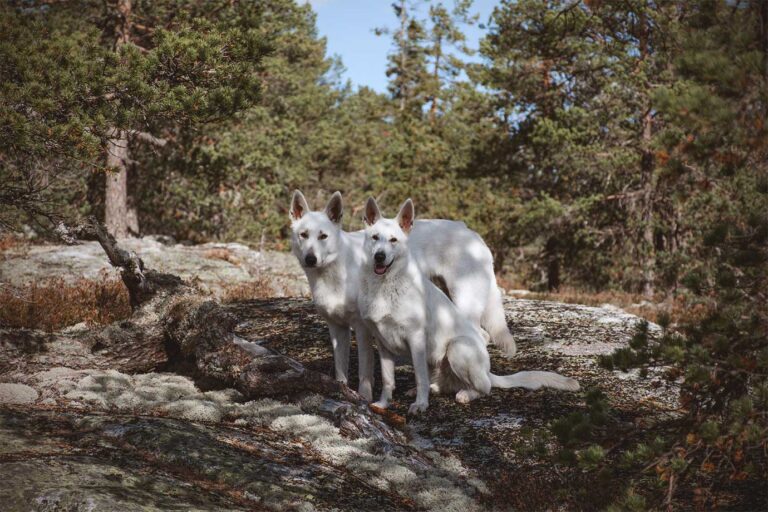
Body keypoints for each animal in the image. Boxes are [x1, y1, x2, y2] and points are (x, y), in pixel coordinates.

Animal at [288, 191, 516, 400]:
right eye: (303, 235)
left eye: (323, 236)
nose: (310, 259)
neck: (335, 271)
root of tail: (472, 234)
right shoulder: (337, 327)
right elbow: (340, 368)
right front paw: (342, 390)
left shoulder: (362, 328)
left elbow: (364, 370)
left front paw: (365, 397)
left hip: (462, 306)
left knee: (481, 340)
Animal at [356, 197, 580, 416]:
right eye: (375, 237)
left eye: (393, 240)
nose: (379, 256)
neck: (385, 287)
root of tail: (476, 237)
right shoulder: (382, 343)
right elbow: (387, 380)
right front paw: (381, 404)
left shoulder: (416, 339)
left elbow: (417, 377)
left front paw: (420, 405)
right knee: (445, 383)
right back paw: (434, 388)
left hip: (458, 340)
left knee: (484, 386)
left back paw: (465, 394)